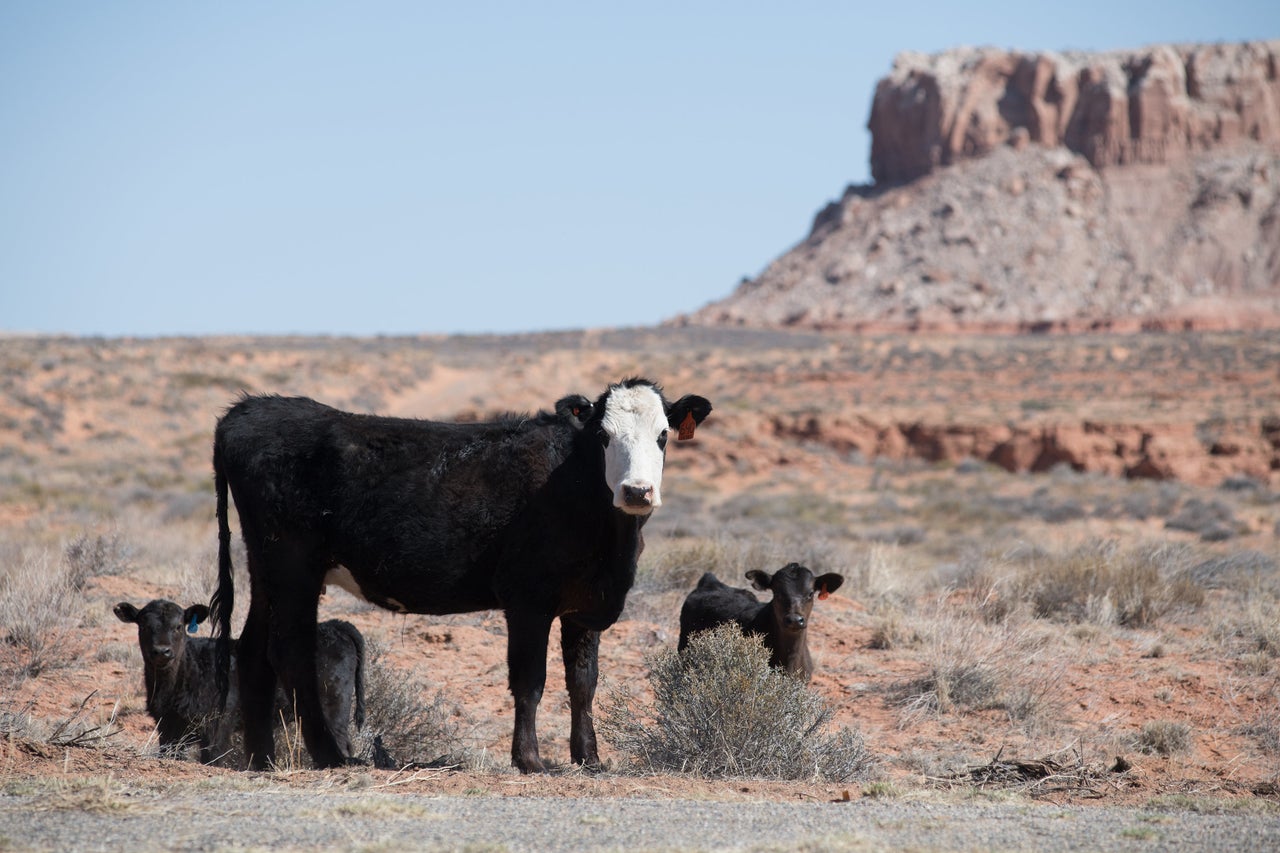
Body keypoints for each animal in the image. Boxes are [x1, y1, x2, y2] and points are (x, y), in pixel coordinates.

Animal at [115, 596, 366, 763]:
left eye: (178, 626)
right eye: (144, 626)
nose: (162, 651)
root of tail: (335, 625)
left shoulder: (216, 726)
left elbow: (213, 759)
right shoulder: (167, 727)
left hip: (333, 706)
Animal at [209, 379, 711, 768]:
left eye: (663, 436)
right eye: (604, 436)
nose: (636, 491)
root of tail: (249, 408)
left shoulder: (584, 605)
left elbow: (583, 683)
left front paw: (589, 759)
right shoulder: (527, 598)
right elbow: (530, 680)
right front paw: (530, 760)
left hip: (267, 570)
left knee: (253, 649)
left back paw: (261, 759)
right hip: (293, 567)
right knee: (290, 651)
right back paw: (329, 755)